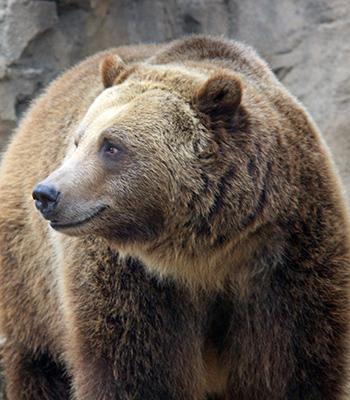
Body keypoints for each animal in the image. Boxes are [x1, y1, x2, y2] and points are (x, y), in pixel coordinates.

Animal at [0, 35, 350, 400]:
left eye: (111, 146)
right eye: (78, 140)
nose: (46, 193)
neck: (205, 251)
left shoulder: (286, 251)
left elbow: (291, 363)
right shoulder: (131, 277)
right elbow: (133, 367)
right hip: (31, 280)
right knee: (39, 360)